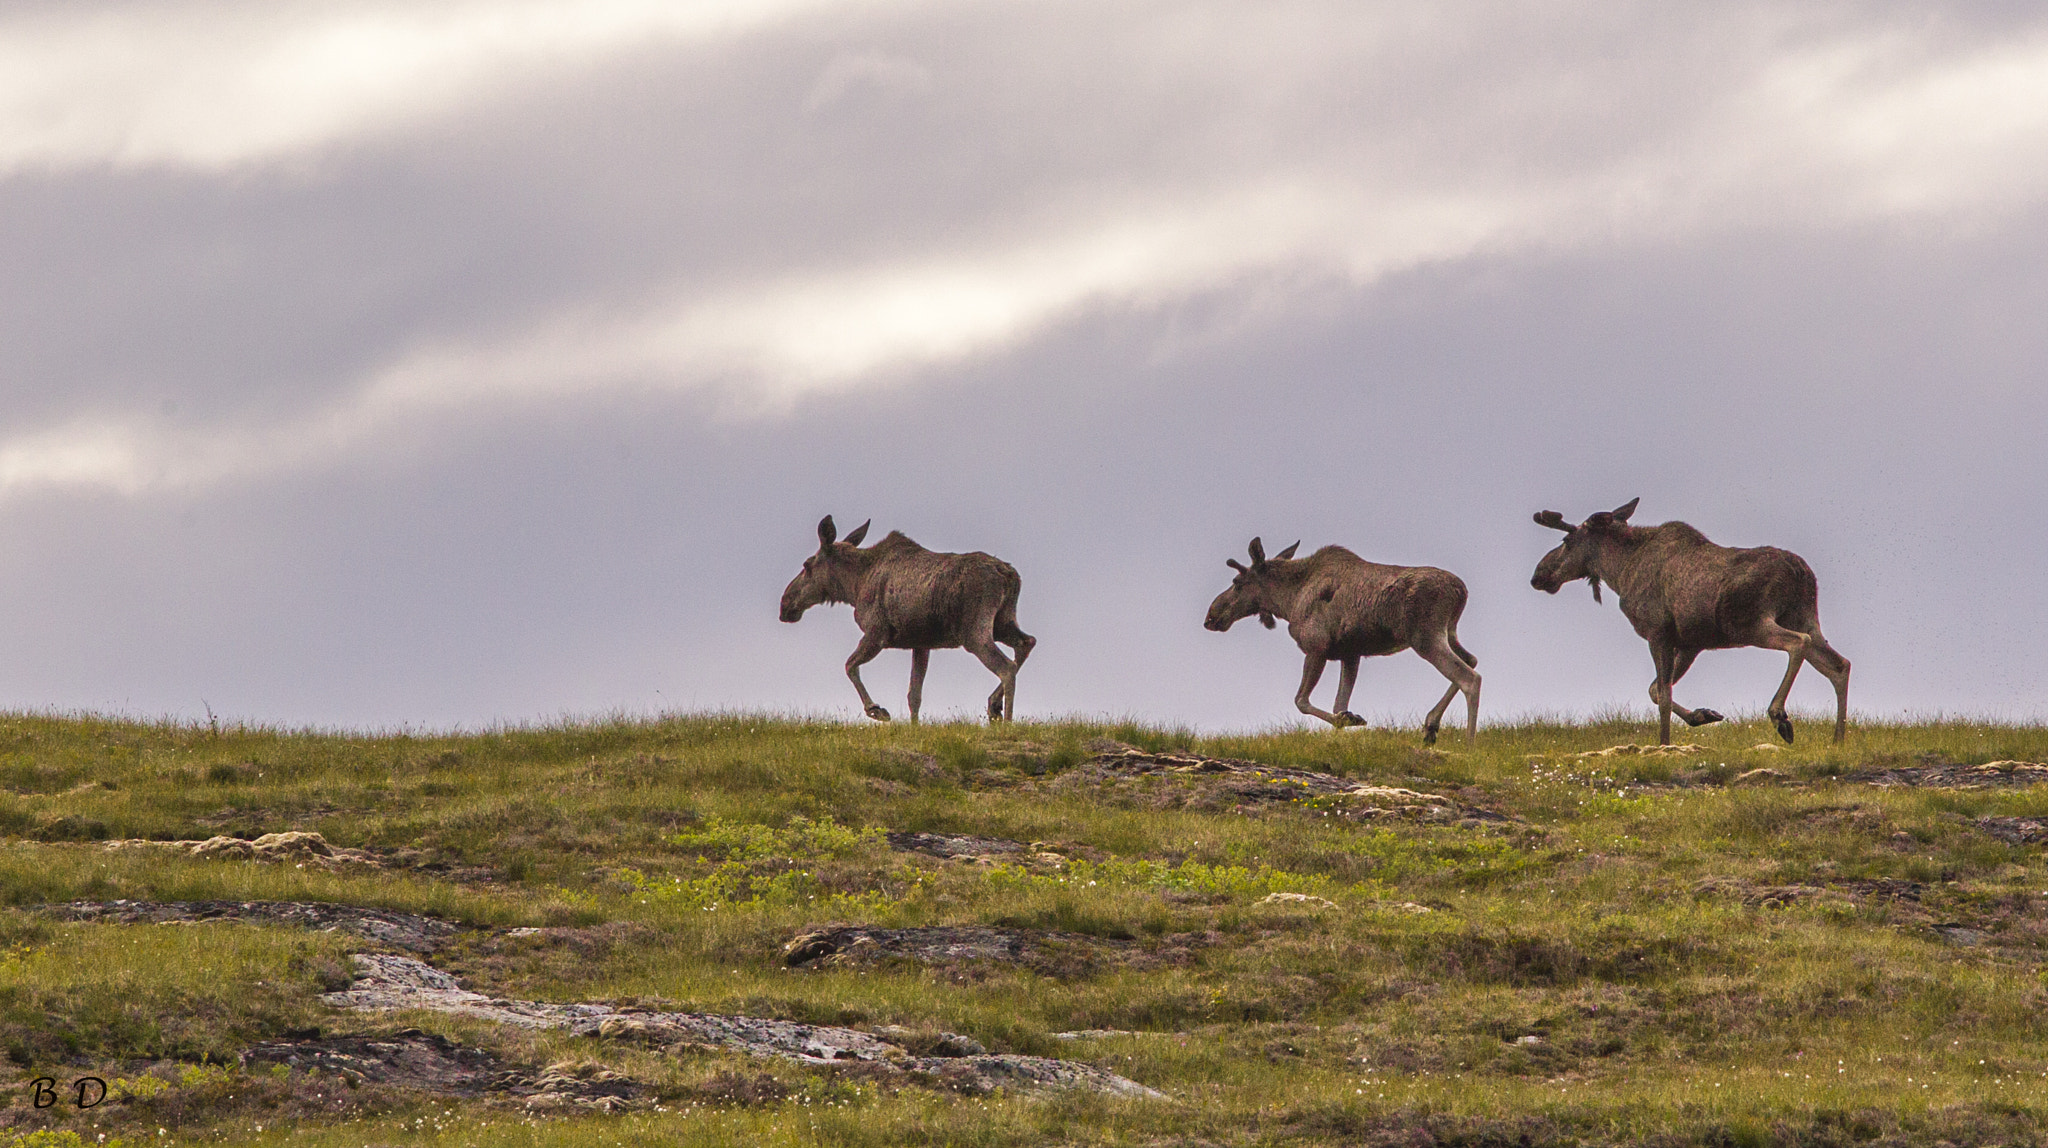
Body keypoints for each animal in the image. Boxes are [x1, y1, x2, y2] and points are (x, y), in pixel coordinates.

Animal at [779, 515, 1035, 723]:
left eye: (806, 565)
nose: (785, 605)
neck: (853, 585)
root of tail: (1010, 575)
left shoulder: (877, 633)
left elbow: (849, 665)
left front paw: (877, 710)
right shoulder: (921, 643)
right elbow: (914, 694)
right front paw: (914, 727)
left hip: (975, 631)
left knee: (1007, 666)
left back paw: (1006, 722)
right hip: (1002, 622)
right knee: (1027, 642)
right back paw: (994, 705)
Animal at [1204, 537, 1481, 744]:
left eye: (1237, 582)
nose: (1211, 616)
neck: (1288, 600)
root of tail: (1462, 592)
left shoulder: (1316, 647)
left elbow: (1302, 701)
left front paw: (1350, 718)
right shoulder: (1351, 653)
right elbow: (1338, 703)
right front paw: (1345, 721)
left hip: (1424, 637)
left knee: (1469, 677)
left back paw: (1468, 744)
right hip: (1448, 632)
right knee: (1472, 660)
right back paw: (1430, 725)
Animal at [1531, 498, 1851, 746]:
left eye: (1566, 541)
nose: (1538, 575)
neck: (1618, 573)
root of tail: (1803, 574)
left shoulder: (1658, 632)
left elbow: (1662, 693)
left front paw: (1664, 744)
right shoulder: (1690, 643)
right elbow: (1655, 691)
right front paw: (1704, 715)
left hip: (1750, 624)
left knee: (1798, 644)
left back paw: (1780, 716)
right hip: (1804, 617)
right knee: (1840, 665)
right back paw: (1838, 739)